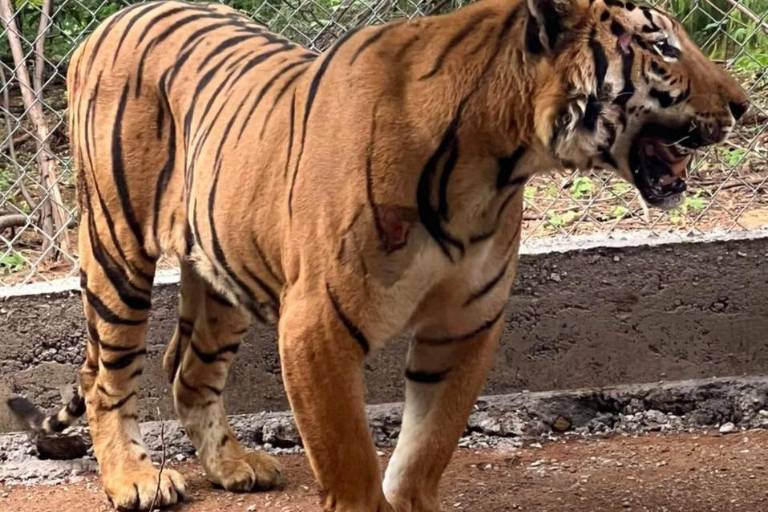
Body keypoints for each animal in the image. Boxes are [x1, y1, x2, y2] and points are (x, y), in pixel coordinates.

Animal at [7, 0, 748, 510]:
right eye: (664, 47)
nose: (743, 105)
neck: (496, 164)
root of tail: (109, 22)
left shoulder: (465, 324)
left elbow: (426, 447)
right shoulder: (316, 325)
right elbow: (351, 460)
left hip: (221, 267)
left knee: (188, 368)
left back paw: (233, 466)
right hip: (116, 249)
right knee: (109, 378)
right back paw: (134, 480)